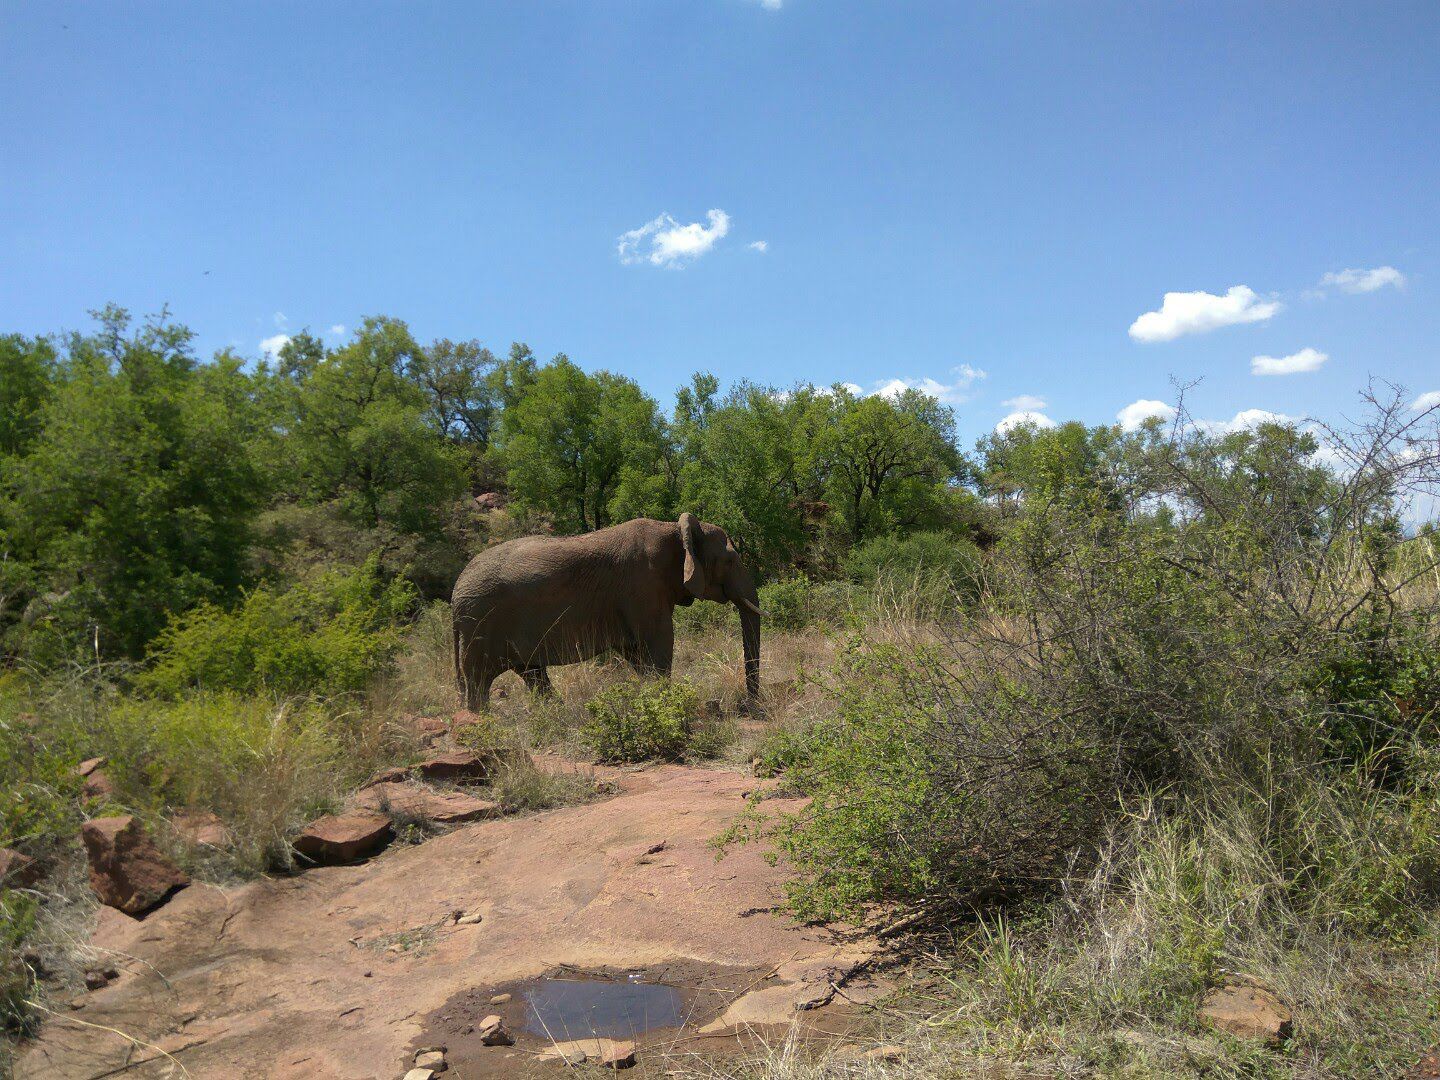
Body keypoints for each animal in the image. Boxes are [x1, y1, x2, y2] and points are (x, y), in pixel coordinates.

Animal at [452, 512, 766, 711]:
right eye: (730, 560)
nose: (748, 706)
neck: (674, 529)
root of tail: (455, 593)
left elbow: (637, 654)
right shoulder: (642, 587)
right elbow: (660, 642)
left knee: (532, 673)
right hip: (480, 624)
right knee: (479, 681)